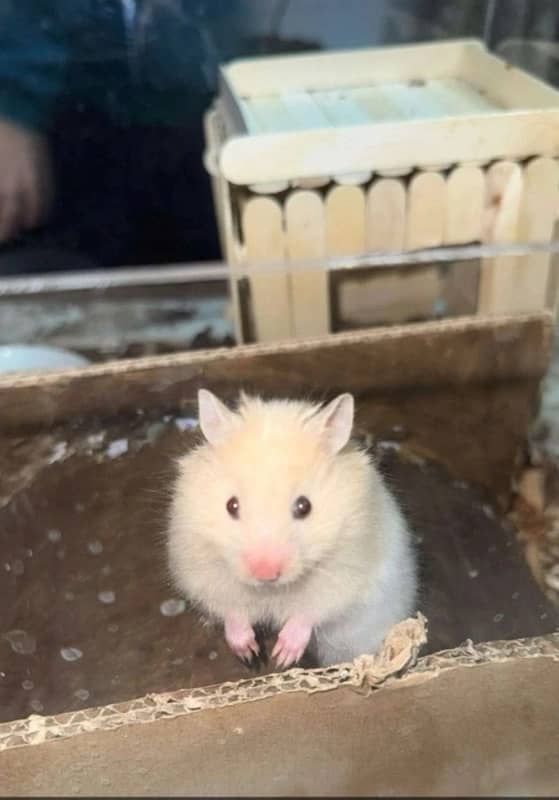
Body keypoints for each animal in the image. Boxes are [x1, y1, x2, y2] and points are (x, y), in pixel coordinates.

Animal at [168, 388, 418, 668]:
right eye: (231, 505)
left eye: (304, 506)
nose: (265, 573)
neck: (271, 591)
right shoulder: (202, 571)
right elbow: (231, 611)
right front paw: (248, 652)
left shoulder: (346, 571)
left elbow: (310, 612)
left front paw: (283, 656)